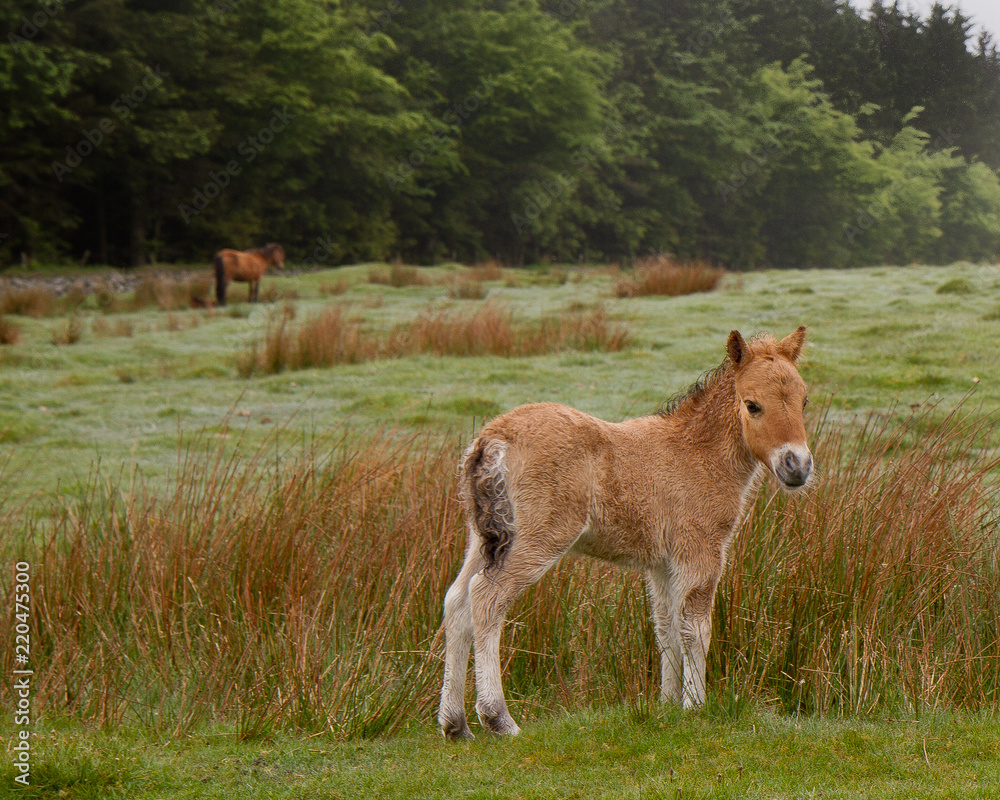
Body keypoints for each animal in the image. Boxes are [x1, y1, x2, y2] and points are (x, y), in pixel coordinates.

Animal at [438, 327, 812, 740]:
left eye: (804, 401)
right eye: (752, 405)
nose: (797, 466)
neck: (697, 454)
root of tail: (494, 438)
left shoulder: (662, 564)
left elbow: (666, 628)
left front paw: (668, 707)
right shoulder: (701, 550)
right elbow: (696, 628)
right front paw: (695, 706)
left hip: (483, 538)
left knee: (457, 601)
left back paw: (455, 724)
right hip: (536, 539)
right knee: (486, 597)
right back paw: (498, 718)